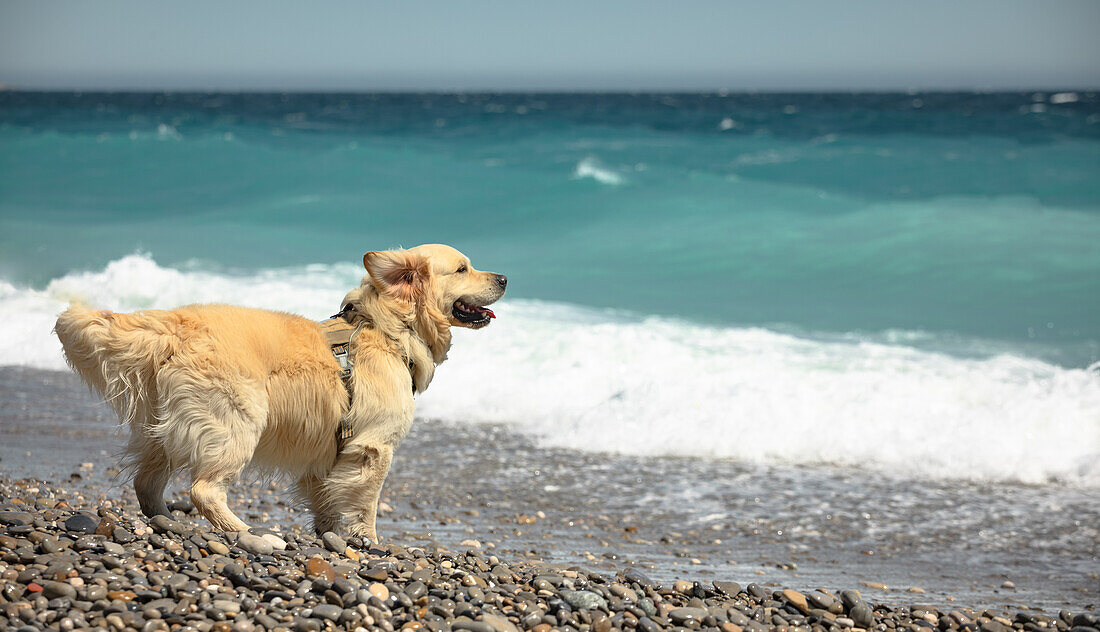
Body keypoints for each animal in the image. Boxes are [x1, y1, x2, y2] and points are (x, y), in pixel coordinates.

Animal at [49, 245, 501, 540]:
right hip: (236, 421)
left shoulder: (331, 452)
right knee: (203, 490)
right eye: (463, 269)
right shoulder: (374, 446)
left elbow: (328, 499)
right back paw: (245, 532)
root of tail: (171, 325)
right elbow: (365, 503)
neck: (389, 328)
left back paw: (166, 522)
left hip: (165, 428)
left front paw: (329, 536)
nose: (504, 278)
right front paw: (369, 542)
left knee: (146, 484)